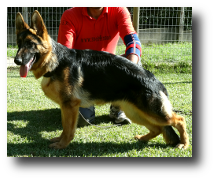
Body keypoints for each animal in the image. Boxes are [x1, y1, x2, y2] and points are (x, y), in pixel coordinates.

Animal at [14, 10, 188, 150]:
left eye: (30, 44)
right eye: (19, 44)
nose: (16, 61)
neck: (56, 61)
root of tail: (156, 82)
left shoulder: (70, 106)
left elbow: (68, 129)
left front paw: (62, 145)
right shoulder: (66, 107)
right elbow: (64, 127)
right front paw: (60, 140)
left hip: (153, 112)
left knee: (179, 119)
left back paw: (183, 144)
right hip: (137, 112)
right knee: (158, 128)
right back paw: (143, 138)